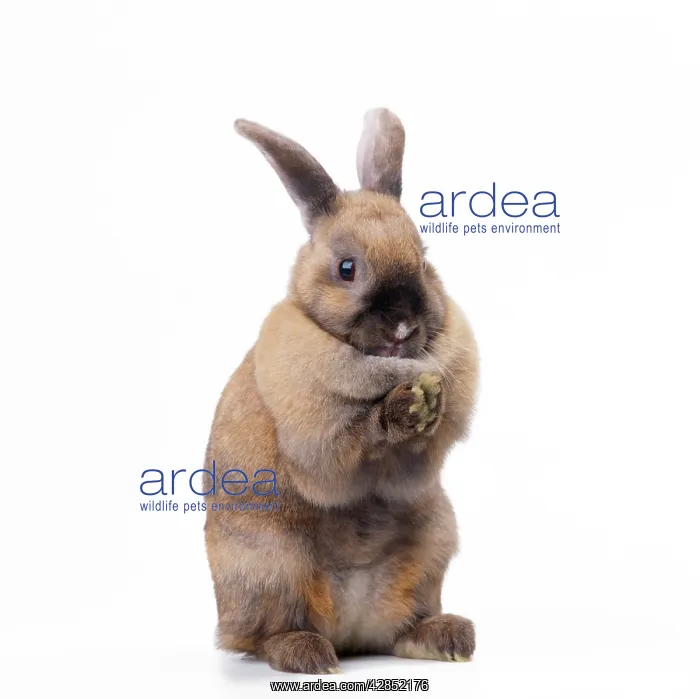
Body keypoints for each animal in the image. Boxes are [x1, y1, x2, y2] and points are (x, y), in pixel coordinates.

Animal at [203, 108, 479, 674]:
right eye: (346, 269)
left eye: (422, 259)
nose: (404, 326)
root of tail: (350, 634)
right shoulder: (318, 447)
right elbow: (347, 449)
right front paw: (406, 405)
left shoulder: (420, 471)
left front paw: (428, 400)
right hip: (272, 568)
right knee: (263, 638)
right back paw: (308, 654)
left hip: (432, 547)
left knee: (400, 630)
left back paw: (446, 638)